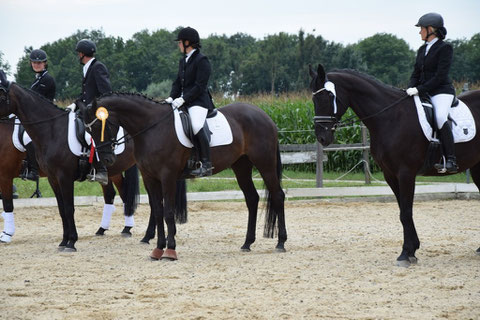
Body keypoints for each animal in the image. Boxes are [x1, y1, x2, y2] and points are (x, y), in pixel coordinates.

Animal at [0, 80, 142, 250]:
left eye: (0, 95)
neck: (52, 130)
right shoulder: (53, 179)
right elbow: (62, 209)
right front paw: (64, 241)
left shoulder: (63, 177)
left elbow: (68, 208)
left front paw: (71, 242)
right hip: (113, 171)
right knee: (112, 194)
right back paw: (104, 229)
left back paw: (132, 231)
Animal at [80, 92, 286, 260]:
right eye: (89, 130)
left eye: (101, 125)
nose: (107, 159)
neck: (151, 128)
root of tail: (264, 115)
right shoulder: (149, 177)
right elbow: (158, 211)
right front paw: (158, 249)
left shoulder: (168, 176)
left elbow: (169, 212)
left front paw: (170, 250)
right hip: (241, 166)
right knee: (252, 198)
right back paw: (247, 243)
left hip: (264, 163)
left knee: (277, 195)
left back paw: (281, 243)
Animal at [310, 63, 480, 266]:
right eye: (313, 99)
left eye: (327, 97)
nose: (322, 138)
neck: (390, 117)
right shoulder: (390, 174)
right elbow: (402, 211)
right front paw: (412, 249)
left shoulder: (406, 173)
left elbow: (406, 212)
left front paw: (406, 253)